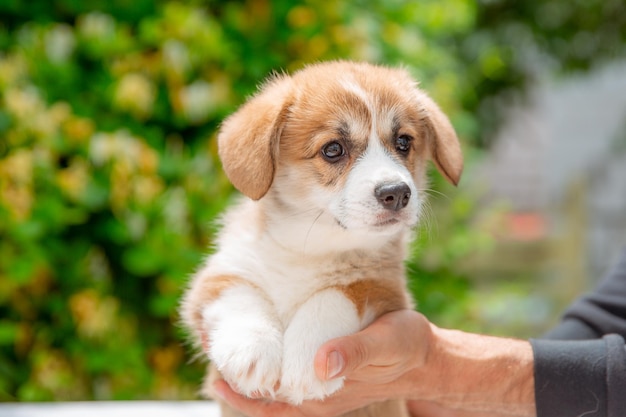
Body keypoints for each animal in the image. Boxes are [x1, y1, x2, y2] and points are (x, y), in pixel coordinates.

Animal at [178, 61, 460, 416]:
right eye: (333, 149)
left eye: (404, 143)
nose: (396, 193)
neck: (312, 247)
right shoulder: (212, 279)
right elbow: (238, 291)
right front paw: (251, 350)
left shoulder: (389, 292)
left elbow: (341, 292)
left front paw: (308, 361)